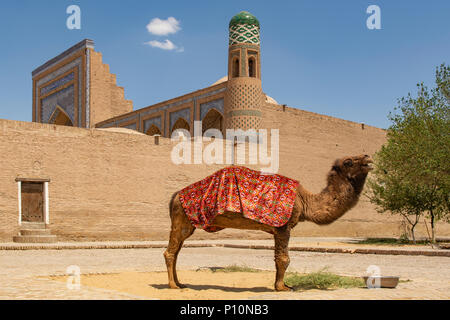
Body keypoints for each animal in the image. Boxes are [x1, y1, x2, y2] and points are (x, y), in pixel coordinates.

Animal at [164, 154, 372, 292]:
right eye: (349, 161)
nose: (368, 157)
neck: (305, 201)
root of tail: (175, 196)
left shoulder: (278, 229)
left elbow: (278, 258)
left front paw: (282, 284)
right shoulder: (283, 227)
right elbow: (283, 259)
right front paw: (282, 288)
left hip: (188, 223)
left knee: (177, 250)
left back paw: (180, 283)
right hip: (182, 218)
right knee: (170, 252)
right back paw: (173, 285)